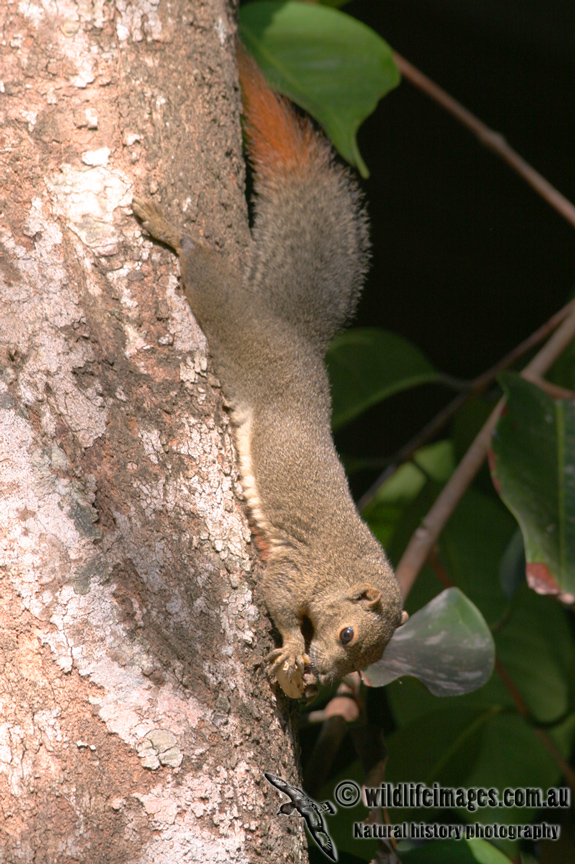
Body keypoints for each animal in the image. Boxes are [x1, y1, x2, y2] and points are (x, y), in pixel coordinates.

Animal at [134, 44, 404, 700]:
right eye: (349, 635)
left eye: (362, 661)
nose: (325, 676)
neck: (341, 570)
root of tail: (295, 336)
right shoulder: (296, 569)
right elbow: (278, 602)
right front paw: (291, 648)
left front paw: (298, 673)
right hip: (235, 325)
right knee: (203, 270)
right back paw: (170, 229)